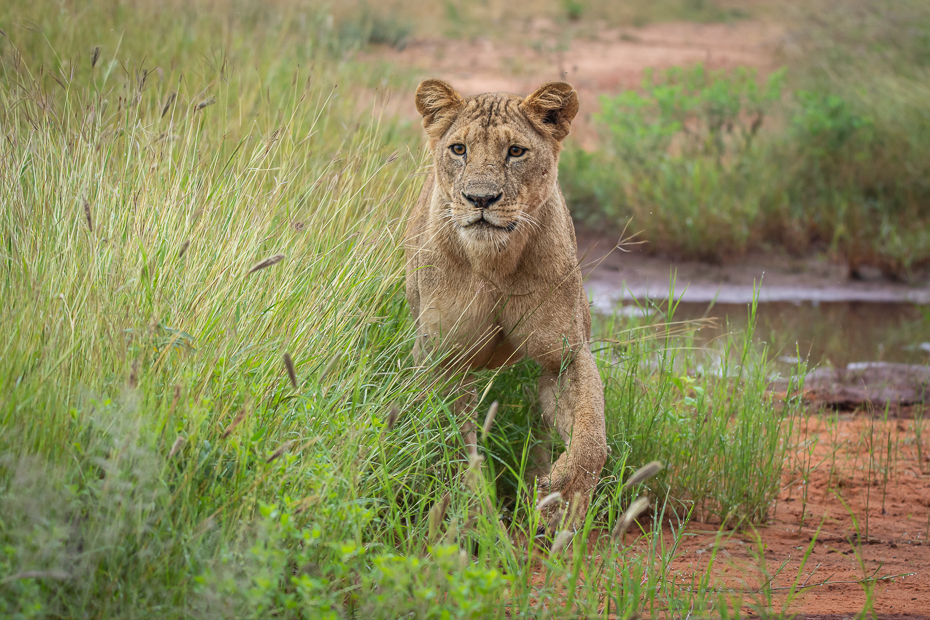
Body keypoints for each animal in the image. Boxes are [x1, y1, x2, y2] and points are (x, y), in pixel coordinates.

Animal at [404, 80, 608, 532]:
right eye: (459, 149)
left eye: (515, 151)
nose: (480, 199)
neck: (495, 262)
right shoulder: (442, 358)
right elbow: (455, 444)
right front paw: (479, 519)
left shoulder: (565, 354)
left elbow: (592, 435)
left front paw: (562, 494)